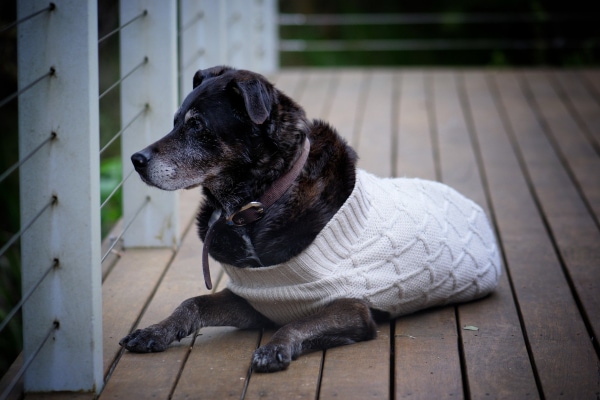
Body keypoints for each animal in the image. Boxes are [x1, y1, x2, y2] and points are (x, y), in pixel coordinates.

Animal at [118, 65, 502, 372]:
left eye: (197, 125)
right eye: (175, 122)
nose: (136, 160)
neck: (257, 203)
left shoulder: (353, 308)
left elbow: (294, 325)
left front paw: (274, 349)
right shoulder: (256, 302)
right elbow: (192, 303)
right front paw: (155, 331)